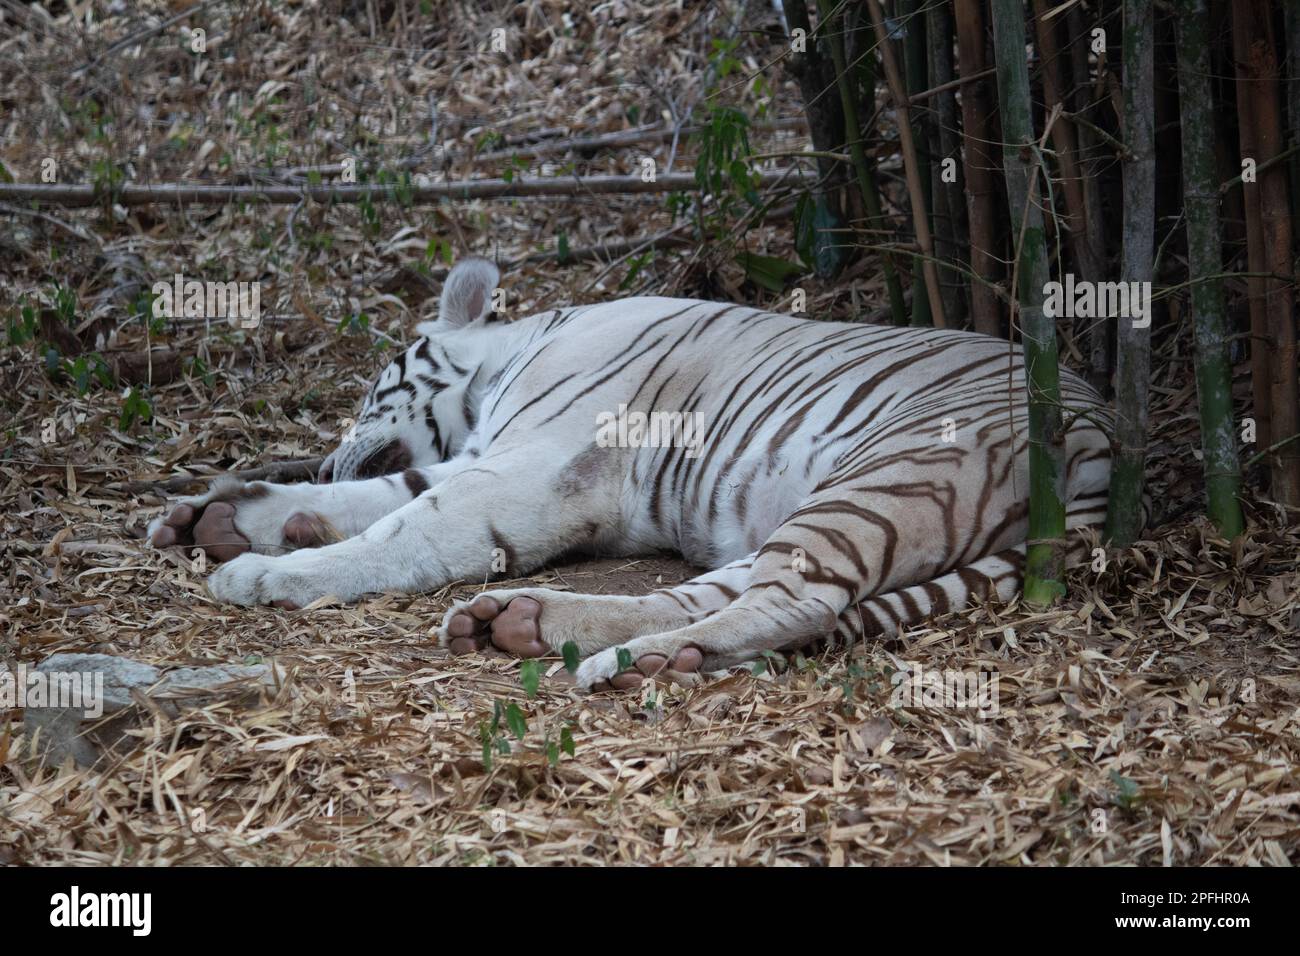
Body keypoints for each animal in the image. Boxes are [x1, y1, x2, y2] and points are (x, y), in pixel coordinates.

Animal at [148, 256, 1114, 692]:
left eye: (377, 380)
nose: (327, 444)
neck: (503, 362)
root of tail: (1106, 436)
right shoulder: (488, 461)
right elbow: (371, 498)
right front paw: (217, 517)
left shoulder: (526, 471)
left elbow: (401, 526)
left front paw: (263, 572)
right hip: (822, 509)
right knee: (712, 593)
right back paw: (527, 622)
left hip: (881, 478)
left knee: (797, 604)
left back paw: (626, 661)